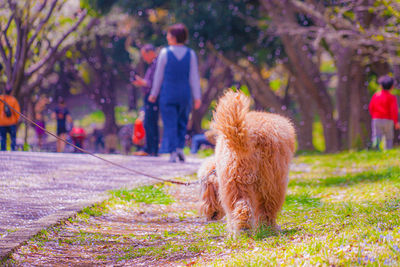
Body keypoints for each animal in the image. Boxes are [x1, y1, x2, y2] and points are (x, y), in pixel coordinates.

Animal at [198, 91, 296, 236]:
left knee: (241, 206)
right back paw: (267, 228)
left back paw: (242, 230)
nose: (209, 216)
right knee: (267, 208)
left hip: (236, 182)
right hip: (272, 183)